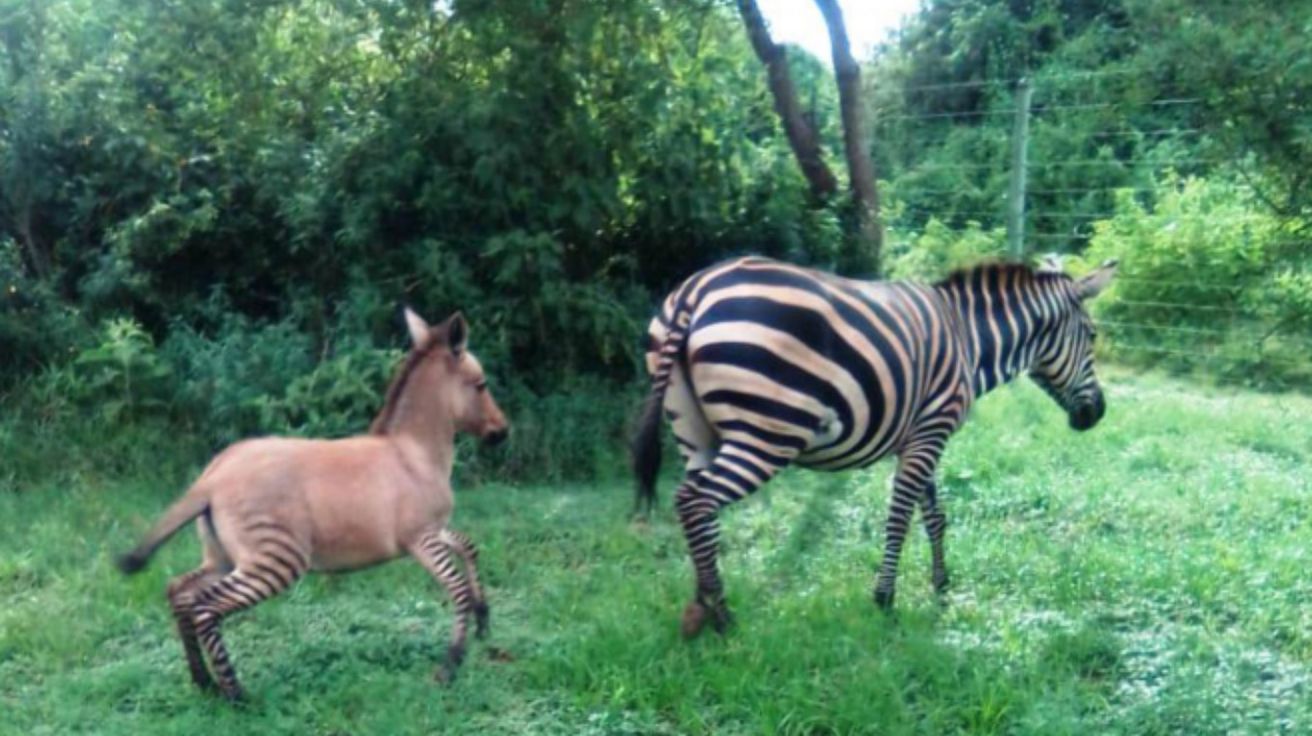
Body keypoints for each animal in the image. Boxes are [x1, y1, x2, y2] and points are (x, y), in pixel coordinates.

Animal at [632, 255, 1118, 637]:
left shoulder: (921, 435)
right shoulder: (931, 430)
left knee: (697, 510)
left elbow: (935, 515)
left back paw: (702, 605)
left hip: (695, 432)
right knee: (695, 501)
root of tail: (696, 289)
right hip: (767, 433)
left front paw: (942, 588)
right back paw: (721, 615)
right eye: (1093, 336)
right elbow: (900, 517)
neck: (969, 339)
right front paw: (885, 599)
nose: (1097, 414)